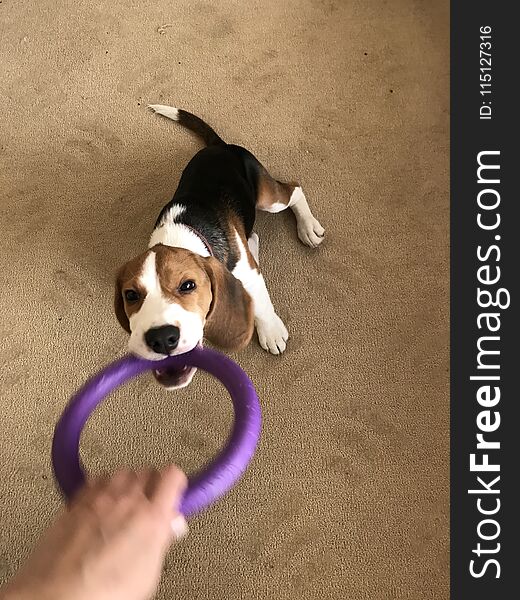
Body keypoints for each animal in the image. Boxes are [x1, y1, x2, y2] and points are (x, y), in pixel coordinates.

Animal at [116, 106, 322, 390]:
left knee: (294, 190)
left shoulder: (249, 272)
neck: (184, 234)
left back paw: (308, 227)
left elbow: (262, 302)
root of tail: (220, 146)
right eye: (131, 295)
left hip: (268, 198)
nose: (161, 338)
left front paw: (271, 331)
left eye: (188, 286)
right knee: (254, 237)